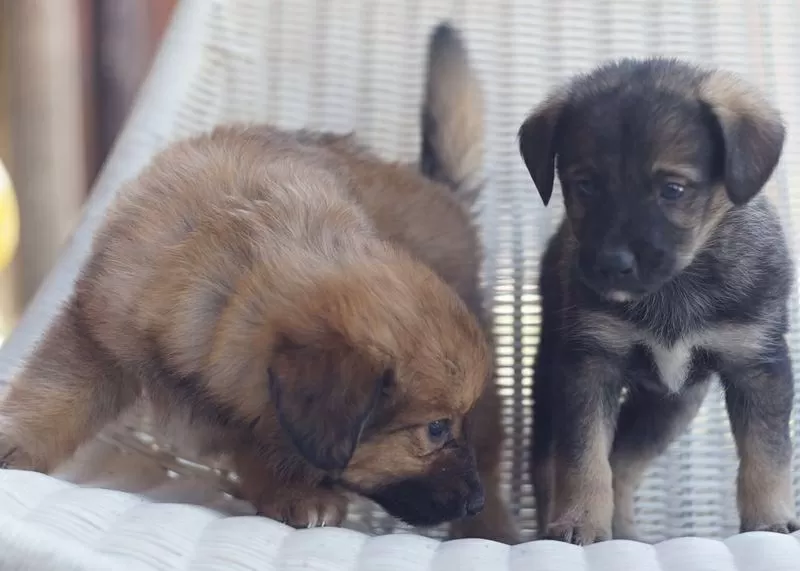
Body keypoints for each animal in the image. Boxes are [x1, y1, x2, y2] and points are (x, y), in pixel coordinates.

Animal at [0, 21, 512, 540]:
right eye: (435, 429)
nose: (471, 500)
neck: (226, 277)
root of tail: (443, 190)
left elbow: (267, 445)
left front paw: (295, 493)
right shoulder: (97, 331)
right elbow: (56, 394)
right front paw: (16, 442)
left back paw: (487, 529)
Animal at [520, 58, 792, 544]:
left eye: (673, 189)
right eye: (584, 185)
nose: (612, 264)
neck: (676, 288)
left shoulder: (757, 366)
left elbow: (767, 453)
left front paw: (768, 521)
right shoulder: (588, 364)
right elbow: (582, 457)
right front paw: (578, 521)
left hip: (670, 408)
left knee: (623, 463)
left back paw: (626, 532)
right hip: (552, 378)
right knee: (551, 465)